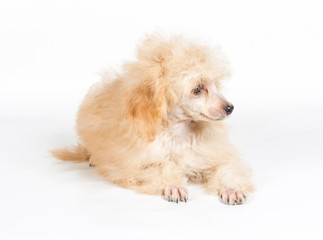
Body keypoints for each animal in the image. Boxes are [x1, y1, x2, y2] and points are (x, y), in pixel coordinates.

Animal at [52, 34, 256, 204]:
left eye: (215, 85)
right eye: (198, 89)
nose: (229, 108)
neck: (177, 133)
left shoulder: (212, 155)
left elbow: (227, 168)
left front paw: (232, 189)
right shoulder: (138, 168)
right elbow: (160, 168)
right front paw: (174, 186)